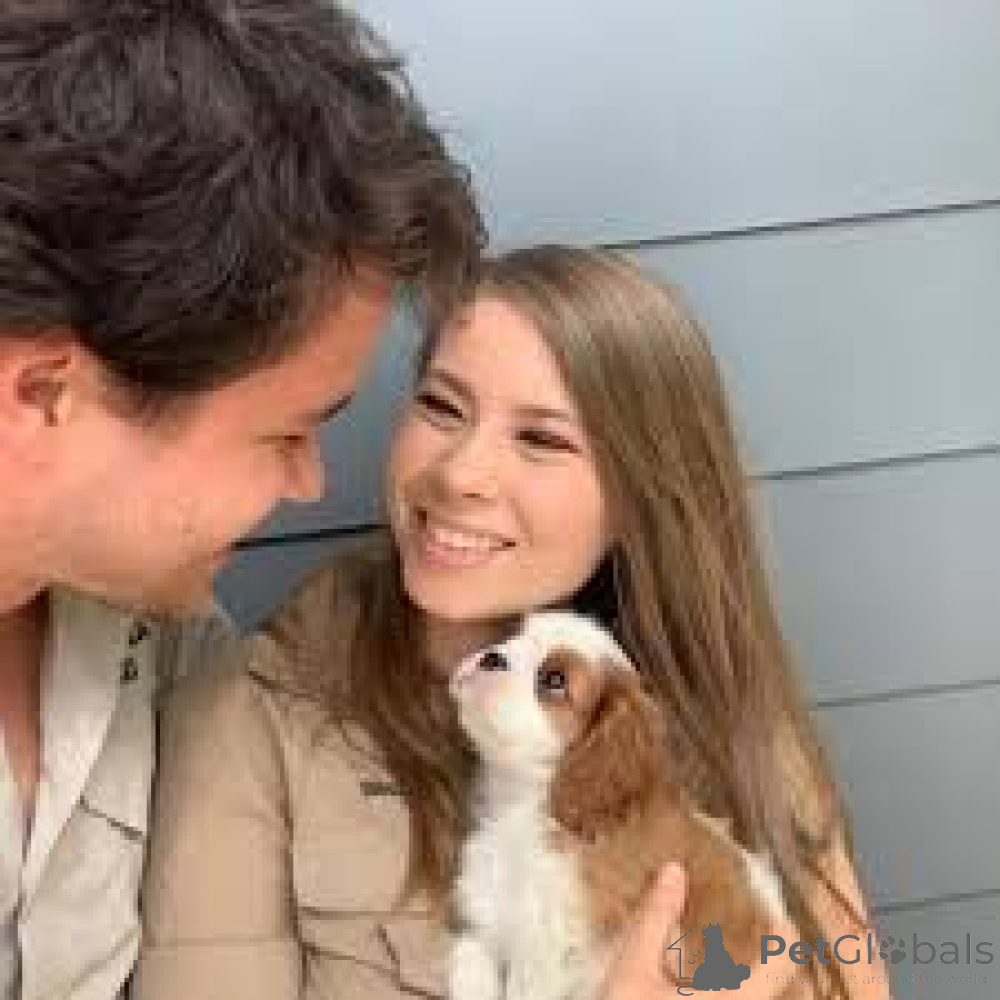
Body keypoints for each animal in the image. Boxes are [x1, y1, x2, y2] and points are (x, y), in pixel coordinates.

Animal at [447, 610, 787, 1000]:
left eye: (554, 680)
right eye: (511, 636)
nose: (492, 657)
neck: (526, 803)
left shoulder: (556, 944)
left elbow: (528, 982)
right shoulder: (493, 910)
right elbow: (472, 951)